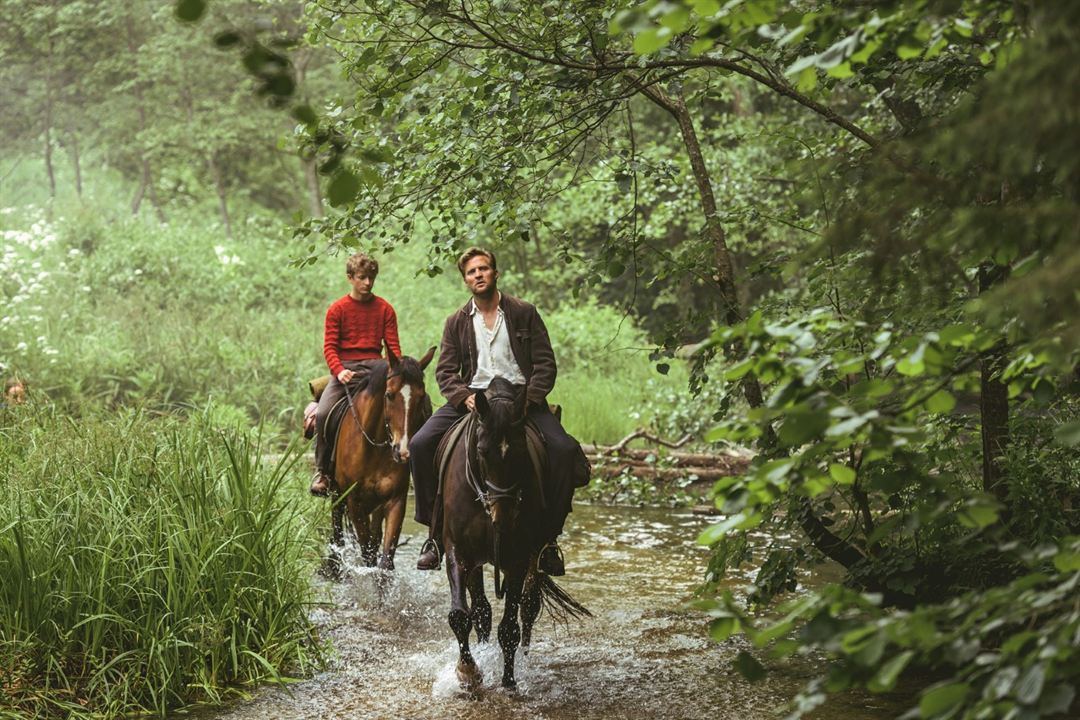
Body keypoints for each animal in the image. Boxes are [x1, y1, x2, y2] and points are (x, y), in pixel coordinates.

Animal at [324, 345, 434, 578]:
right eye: (389, 395)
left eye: (421, 397)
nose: (403, 451)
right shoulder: (354, 502)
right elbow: (367, 557)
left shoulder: (395, 500)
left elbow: (384, 562)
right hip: (338, 494)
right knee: (337, 533)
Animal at [438, 375, 591, 690]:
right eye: (482, 451)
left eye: (521, 451)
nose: (504, 518)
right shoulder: (457, 550)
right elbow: (460, 615)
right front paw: (468, 671)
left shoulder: (518, 558)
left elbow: (509, 626)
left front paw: (508, 681)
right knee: (482, 610)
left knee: (528, 608)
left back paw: (524, 655)